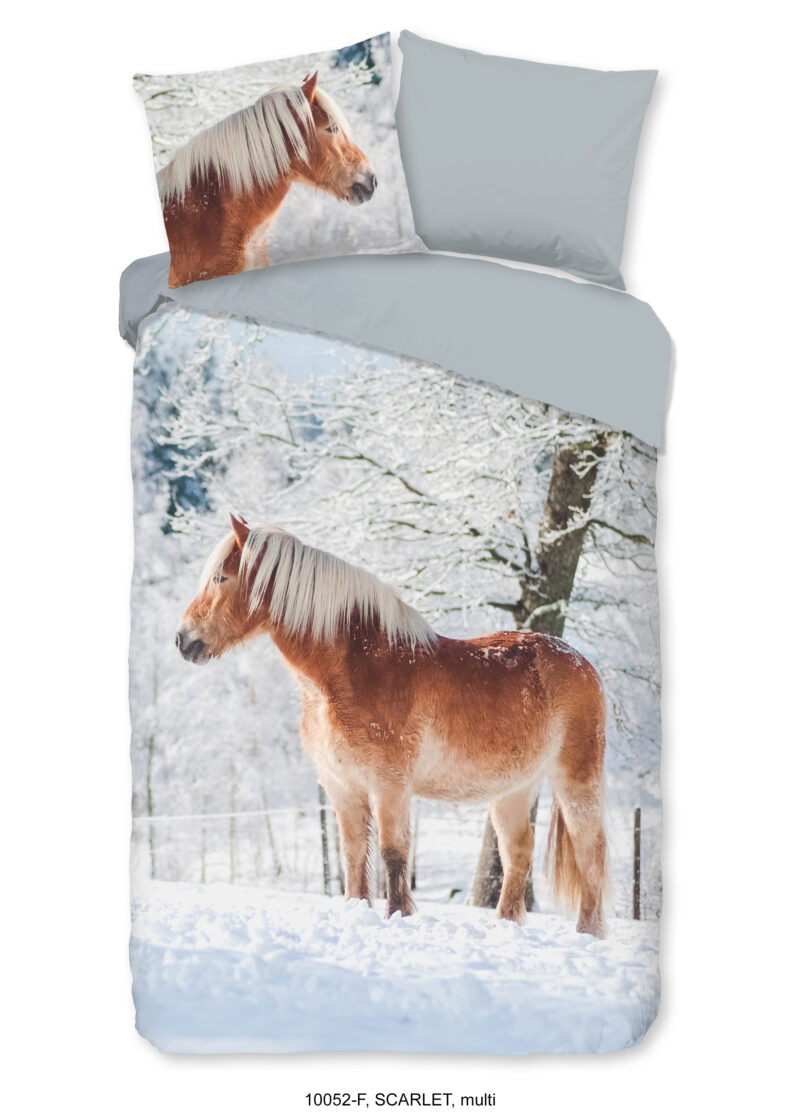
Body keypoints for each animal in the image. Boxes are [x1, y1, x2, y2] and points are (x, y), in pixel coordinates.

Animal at [176, 516, 609, 937]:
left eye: (220, 578)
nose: (182, 640)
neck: (353, 668)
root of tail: (583, 664)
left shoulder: (390, 784)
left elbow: (392, 852)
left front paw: (398, 916)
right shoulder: (341, 785)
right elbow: (353, 852)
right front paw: (356, 910)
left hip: (575, 782)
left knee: (591, 852)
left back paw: (587, 934)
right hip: (514, 790)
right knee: (518, 853)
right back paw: (504, 928)